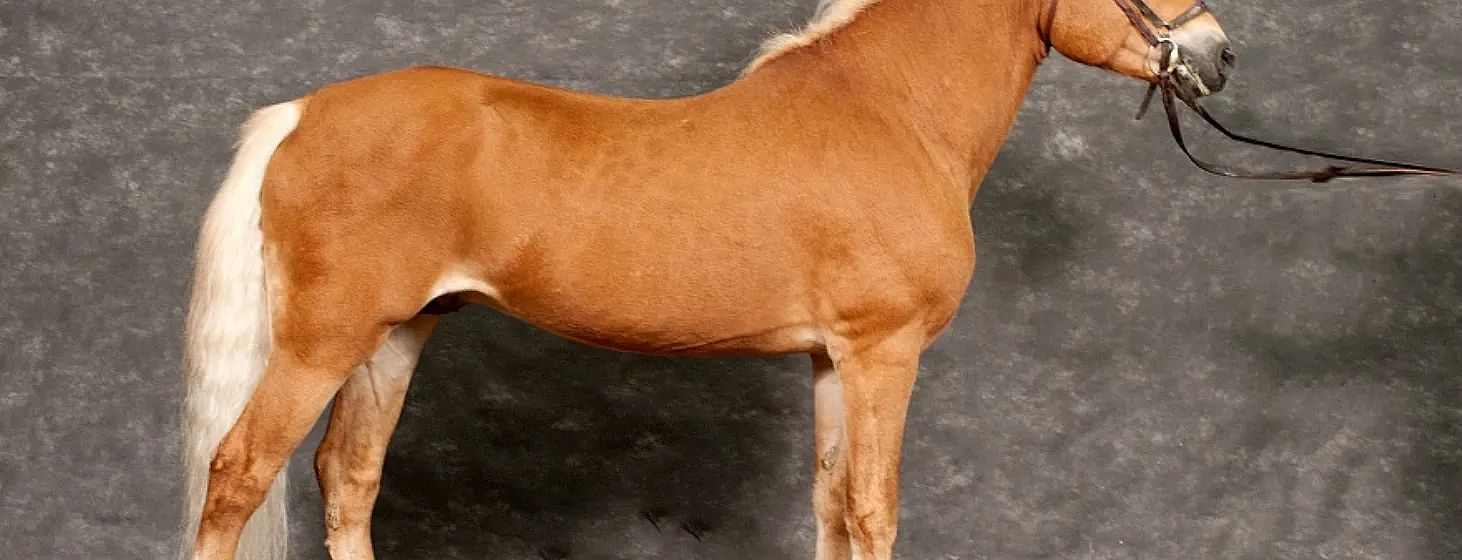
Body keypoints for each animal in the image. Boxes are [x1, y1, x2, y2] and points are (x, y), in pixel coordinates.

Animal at [181, 0, 1232, 558]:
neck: (889, 111)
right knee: (239, 472)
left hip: (397, 332)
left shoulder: (833, 360)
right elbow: (873, 507)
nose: (1219, 52)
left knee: (347, 476)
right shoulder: (883, 354)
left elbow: (830, 501)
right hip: (322, 341)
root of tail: (301, 114)